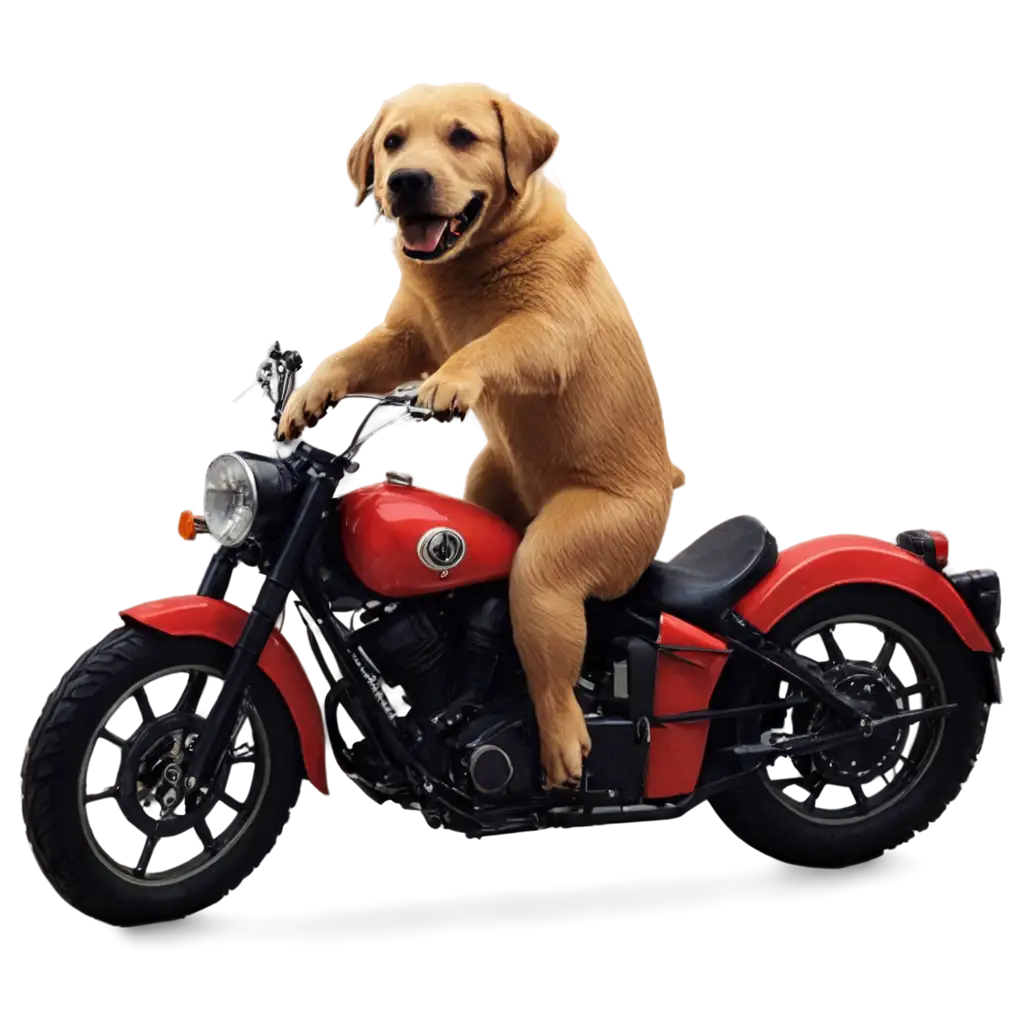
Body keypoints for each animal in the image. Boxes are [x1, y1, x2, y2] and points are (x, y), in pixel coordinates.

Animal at [280, 83, 679, 786]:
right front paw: (309, 393)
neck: (466, 266)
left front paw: (450, 384)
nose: (407, 180)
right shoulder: (408, 334)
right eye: (392, 143)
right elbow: (358, 354)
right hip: (494, 481)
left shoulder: (549, 326)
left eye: (463, 136)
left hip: (594, 538)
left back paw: (563, 748)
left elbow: (499, 342)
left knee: (542, 609)